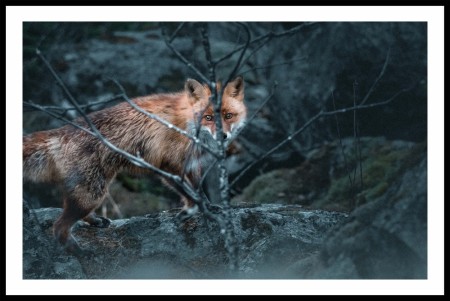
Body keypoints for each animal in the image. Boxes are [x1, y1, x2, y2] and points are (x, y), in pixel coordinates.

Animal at [22, 75, 246, 253]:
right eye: (208, 117)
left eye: (228, 116)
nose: (223, 136)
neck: (186, 125)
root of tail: (61, 131)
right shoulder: (168, 167)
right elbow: (190, 196)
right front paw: (192, 211)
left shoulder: (192, 165)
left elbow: (200, 192)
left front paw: (209, 207)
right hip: (92, 192)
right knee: (59, 227)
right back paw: (79, 252)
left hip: (92, 190)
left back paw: (94, 221)